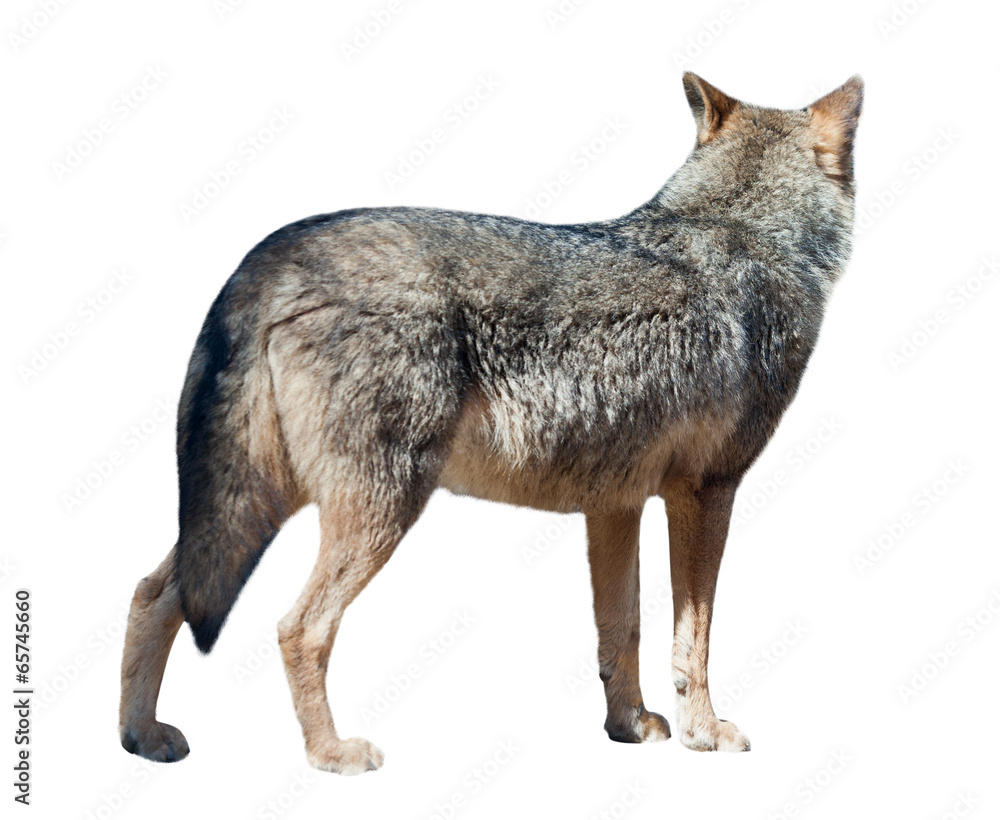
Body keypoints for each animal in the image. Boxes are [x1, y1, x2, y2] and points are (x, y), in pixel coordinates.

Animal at [119, 72, 863, 774]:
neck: (743, 233)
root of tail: (270, 254)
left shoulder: (614, 506)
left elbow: (621, 629)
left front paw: (628, 727)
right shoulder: (706, 493)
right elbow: (694, 639)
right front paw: (704, 734)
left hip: (259, 506)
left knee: (152, 592)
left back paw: (141, 737)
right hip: (376, 509)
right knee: (298, 627)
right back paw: (331, 754)